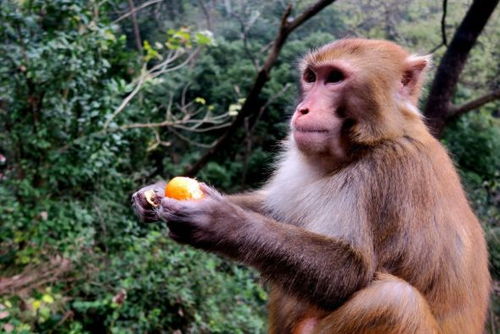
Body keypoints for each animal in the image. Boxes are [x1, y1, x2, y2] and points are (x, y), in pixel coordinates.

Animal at [132, 37, 488, 332]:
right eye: (311, 77)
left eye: (335, 79)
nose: (302, 109)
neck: (367, 144)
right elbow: (276, 214)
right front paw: (155, 192)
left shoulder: (386, 173)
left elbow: (349, 272)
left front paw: (220, 223)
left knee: (394, 301)